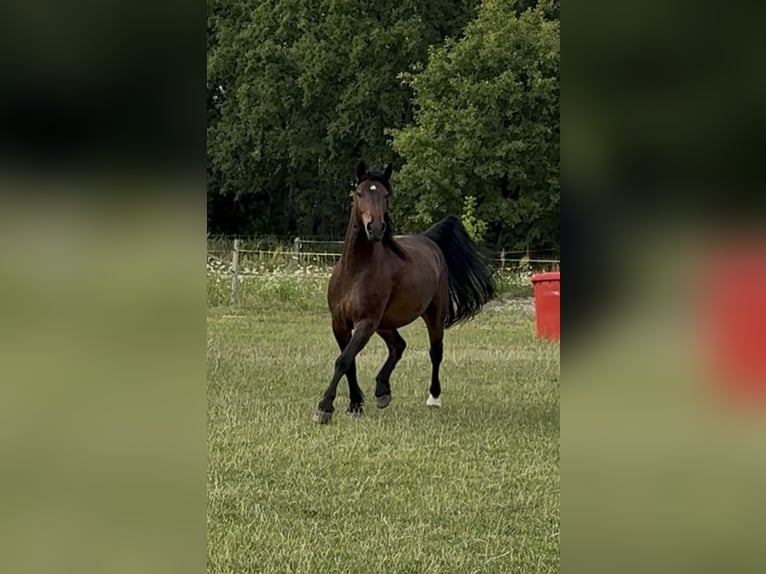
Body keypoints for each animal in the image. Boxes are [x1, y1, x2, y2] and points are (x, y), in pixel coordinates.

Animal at [313, 161, 497, 424]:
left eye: (385, 195)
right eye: (359, 194)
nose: (375, 228)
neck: (355, 271)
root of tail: (429, 241)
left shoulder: (366, 322)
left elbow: (344, 360)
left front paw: (325, 407)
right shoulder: (339, 323)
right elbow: (350, 362)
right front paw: (356, 403)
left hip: (432, 315)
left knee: (435, 352)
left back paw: (433, 398)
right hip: (385, 323)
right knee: (398, 346)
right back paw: (382, 390)